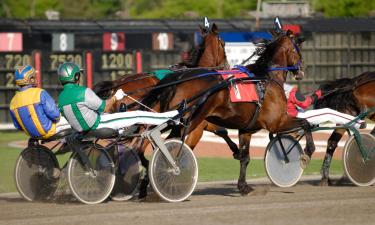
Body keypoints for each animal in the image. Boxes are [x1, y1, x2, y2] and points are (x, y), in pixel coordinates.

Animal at [142, 29, 314, 195]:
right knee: (168, 145)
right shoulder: (276, 122)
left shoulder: (246, 130)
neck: (266, 78)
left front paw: (243, 186)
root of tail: (179, 77)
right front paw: (306, 153)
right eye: (298, 47)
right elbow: (305, 123)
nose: (302, 69)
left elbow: (245, 158)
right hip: (190, 121)